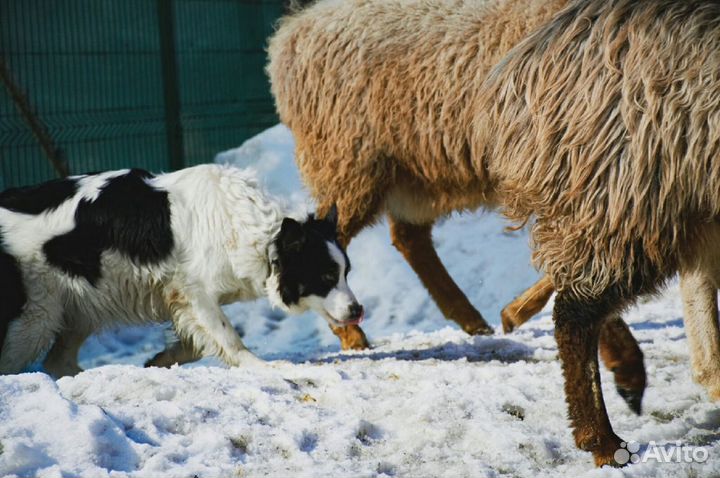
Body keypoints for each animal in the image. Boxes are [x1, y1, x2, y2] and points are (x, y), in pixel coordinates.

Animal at [0, 164, 360, 378]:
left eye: (347, 273)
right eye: (327, 277)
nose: (358, 310)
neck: (256, 232)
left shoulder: (183, 298)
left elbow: (195, 342)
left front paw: (160, 360)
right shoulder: (194, 291)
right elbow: (228, 336)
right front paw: (260, 366)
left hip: (76, 309)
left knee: (56, 361)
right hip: (34, 319)